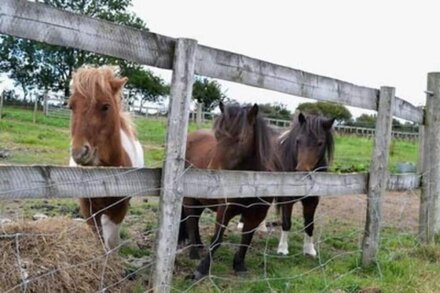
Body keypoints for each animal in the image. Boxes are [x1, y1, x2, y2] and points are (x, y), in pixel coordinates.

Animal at [69, 65, 144, 250]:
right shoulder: (88, 208)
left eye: (105, 106)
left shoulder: (119, 207)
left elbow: (111, 240)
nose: (79, 152)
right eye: (71, 106)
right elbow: (99, 238)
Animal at [180, 102, 276, 278]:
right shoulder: (224, 210)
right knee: (191, 220)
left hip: (200, 200)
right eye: (217, 136)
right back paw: (194, 253)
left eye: (241, 139)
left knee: (195, 219)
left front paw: (239, 265)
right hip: (190, 198)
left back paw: (199, 245)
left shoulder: (256, 214)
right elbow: (217, 239)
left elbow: (246, 239)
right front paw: (201, 270)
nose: (211, 172)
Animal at [276, 112, 336, 256]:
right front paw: (282, 248)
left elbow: (309, 225)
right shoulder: (287, 199)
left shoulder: (312, 200)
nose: (301, 171)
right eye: (298, 140)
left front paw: (309, 249)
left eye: (320, 143)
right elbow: (286, 222)